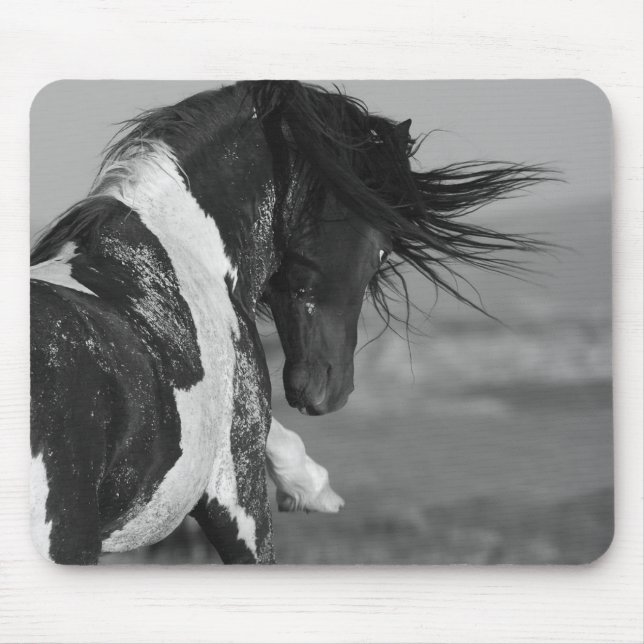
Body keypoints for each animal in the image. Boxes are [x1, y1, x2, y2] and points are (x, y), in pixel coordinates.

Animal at [30, 81, 548, 564]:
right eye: (381, 248)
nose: (330, 390)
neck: (185, 254)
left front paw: (312, 487)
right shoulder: (237, 495)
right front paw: (310, 487)